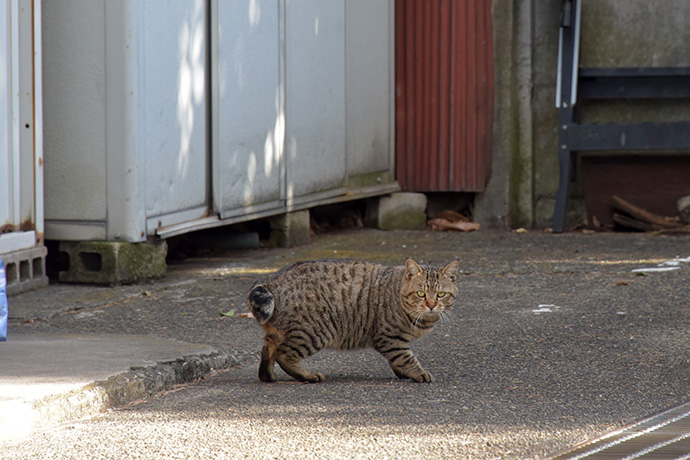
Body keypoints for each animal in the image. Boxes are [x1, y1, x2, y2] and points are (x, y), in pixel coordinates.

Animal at [247, 258, 456, 384]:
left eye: (441, 294)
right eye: (421, 293)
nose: (431, 305)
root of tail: (272, 278)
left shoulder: (394, 340)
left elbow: (398, 359)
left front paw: (403, 372)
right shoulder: (389, 337)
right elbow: (406, 357)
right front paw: (418, 372)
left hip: (282, 332)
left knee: (268, 348)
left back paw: (268, 375)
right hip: (315, 331)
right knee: (284, 354)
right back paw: (308, 375)